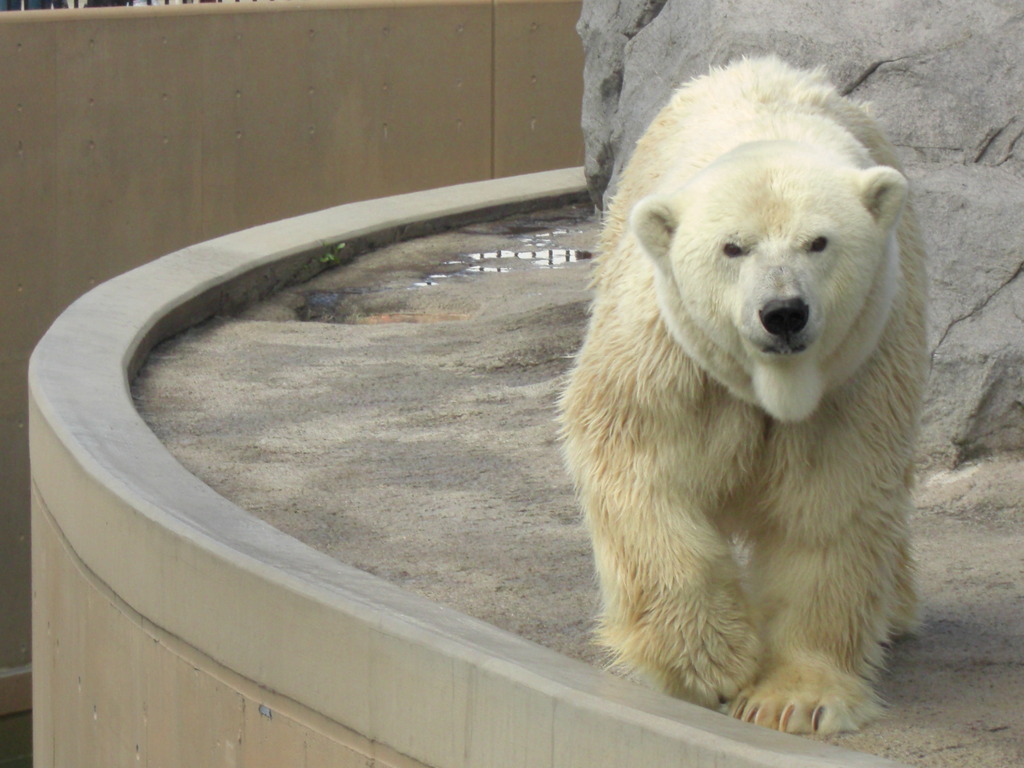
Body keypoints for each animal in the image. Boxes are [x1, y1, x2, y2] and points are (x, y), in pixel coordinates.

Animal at [561, 58, 929, 733]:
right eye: (733, 246)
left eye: (819, 242)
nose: (783, 312)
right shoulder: (669, 355)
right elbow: (643, 467)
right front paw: (710, 660)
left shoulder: (855, 372)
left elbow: (830, 505)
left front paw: (797, 699)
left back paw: (895, 609)